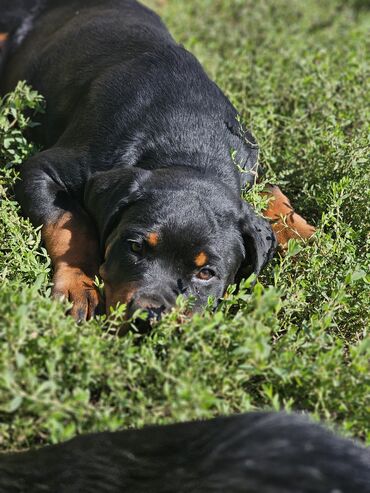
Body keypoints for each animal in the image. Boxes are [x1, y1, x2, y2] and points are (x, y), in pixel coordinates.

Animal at [0, 0, 316, 322]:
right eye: (135, 246)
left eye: (206, 273)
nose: (146, 318)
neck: (190, 144)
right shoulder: (43, 169)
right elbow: (70, 225)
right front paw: (79, 286)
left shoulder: (246, 161)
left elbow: (271, 191)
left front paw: (307, 236)